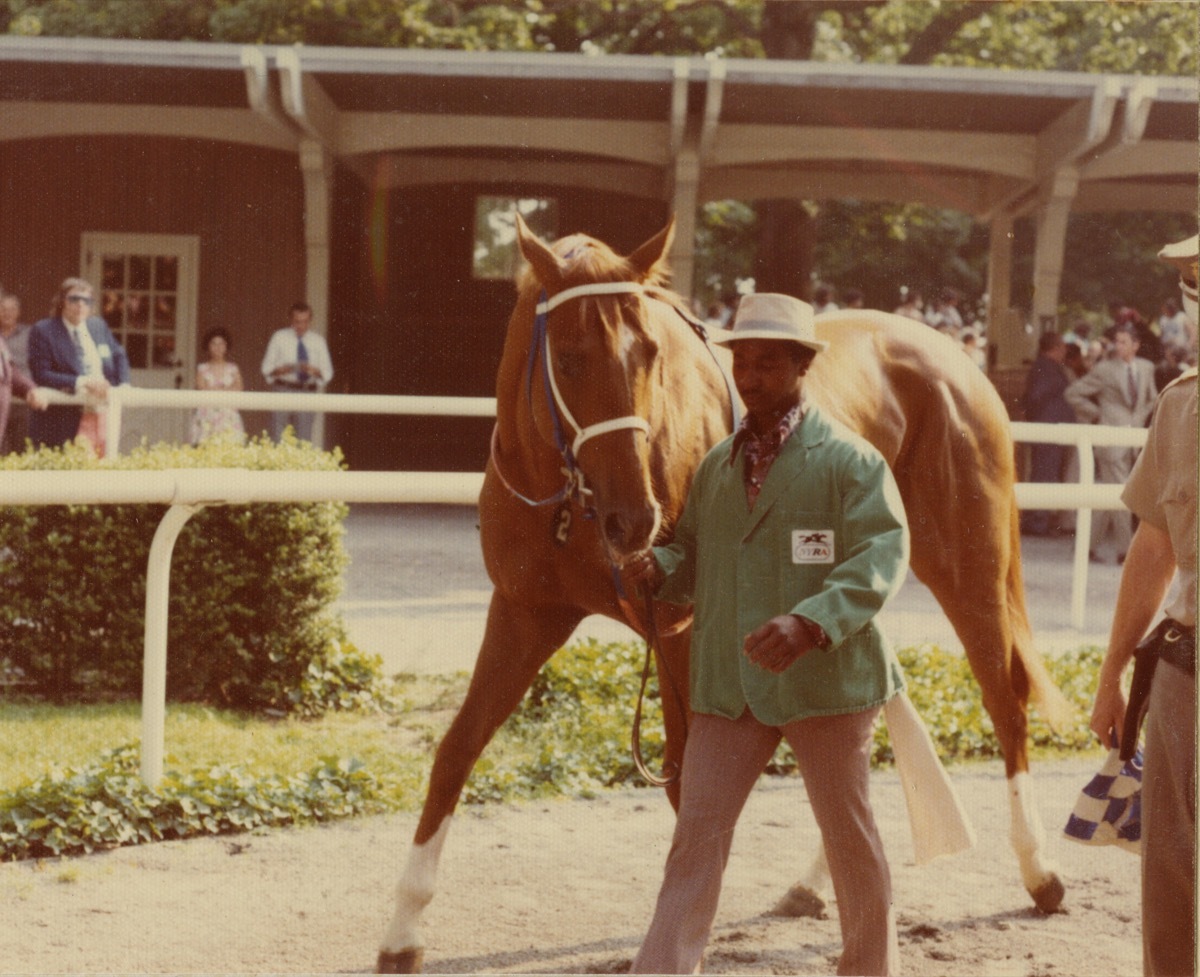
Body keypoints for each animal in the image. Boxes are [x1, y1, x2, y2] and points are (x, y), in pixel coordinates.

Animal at [376, 217, 1071, 973]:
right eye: (569, 355)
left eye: (649, 351)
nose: (635, 518)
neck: (567, 500)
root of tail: (960, 359)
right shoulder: (525, 613)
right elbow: (457, 748)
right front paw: (402, 930)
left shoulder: (680, 630)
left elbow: (689, 779)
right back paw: (815, 881)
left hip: (968, 566)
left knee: (1003, 698)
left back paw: (1039, 871)